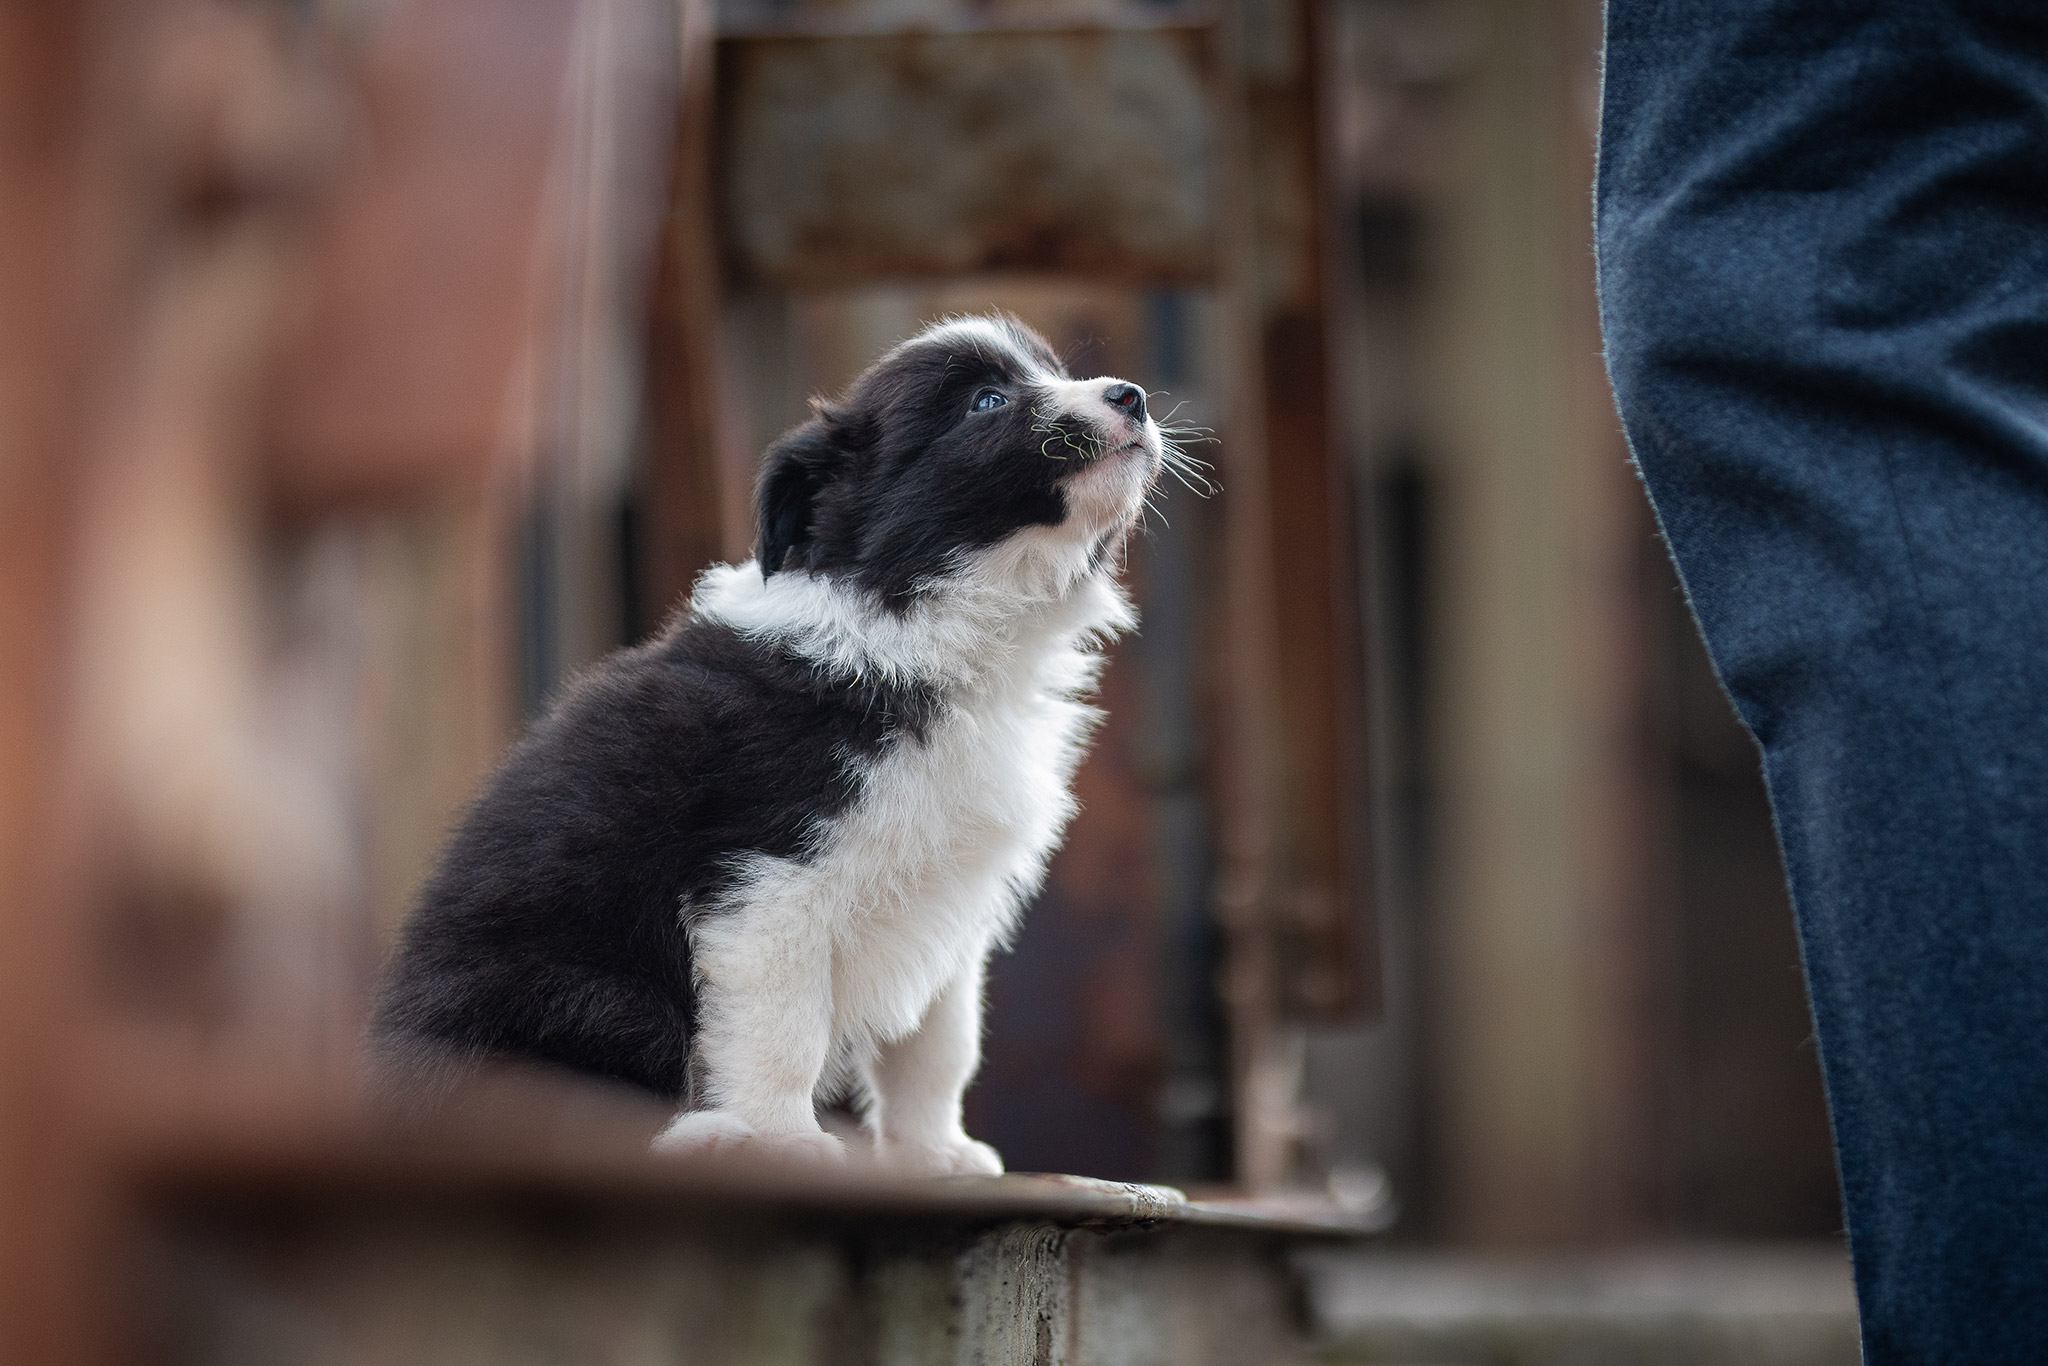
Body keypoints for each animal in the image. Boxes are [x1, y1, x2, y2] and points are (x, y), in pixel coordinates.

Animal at [370, 317, 1163, 1179]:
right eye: (986, 401)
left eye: (1049, 370)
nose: (1131, 396)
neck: (925, 619)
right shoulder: (767, 880)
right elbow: (785, 1030)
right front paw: (786, 1143)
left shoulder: (950, 896)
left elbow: (938, 1047)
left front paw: (935, 1154)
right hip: (598, 994)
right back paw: (706, 1138)